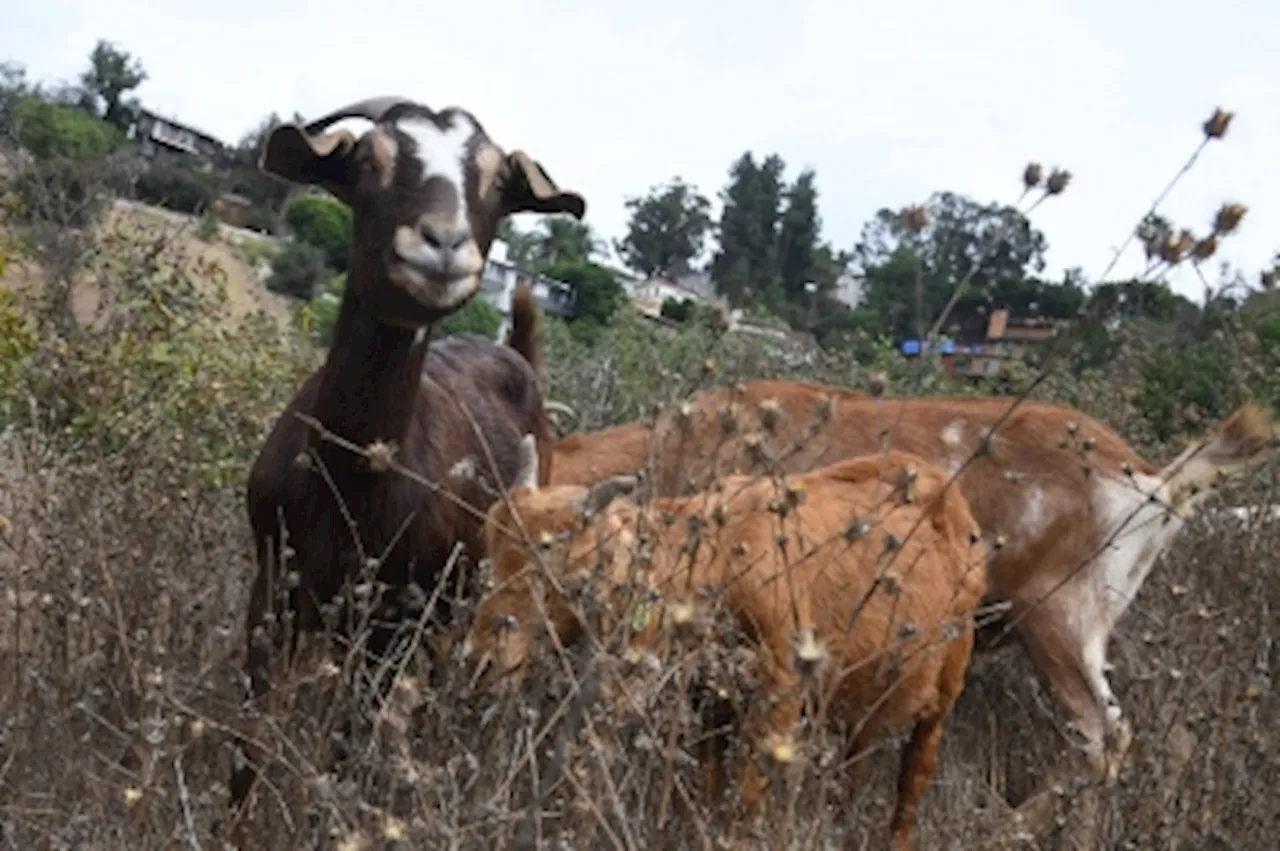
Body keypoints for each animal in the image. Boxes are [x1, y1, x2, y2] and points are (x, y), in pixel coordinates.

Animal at [229, 95, 586, 819]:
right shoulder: (273, 586)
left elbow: (347, 744)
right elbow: (248, 749)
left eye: (497, 181)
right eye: (370, 160)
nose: (444, 243)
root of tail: (517, 354)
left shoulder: (390, 627)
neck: (346, 481)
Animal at [468, 435, 988, 844]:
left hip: (944, 694)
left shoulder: (778, 699)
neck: (717, 558)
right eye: (490, 540)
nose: (483, 659)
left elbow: (745, 802)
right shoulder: (708, 705)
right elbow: (708, 786)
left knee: (913, 781)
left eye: (553, 561)